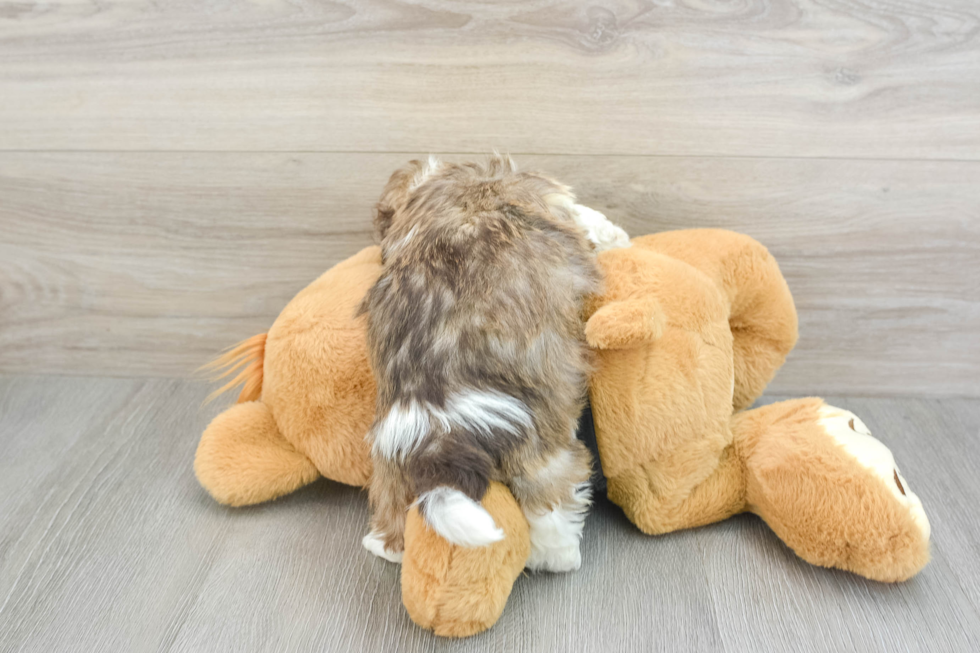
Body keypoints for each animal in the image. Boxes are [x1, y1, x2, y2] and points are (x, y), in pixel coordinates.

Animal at [360, 154, 628, 572]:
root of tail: (439, 435)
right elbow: (593, 222)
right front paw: (617, 237)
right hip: (538, 450)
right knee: (552, 502)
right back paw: (559, 556)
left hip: (391, 462)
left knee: (391, 521)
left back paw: (385, 545)